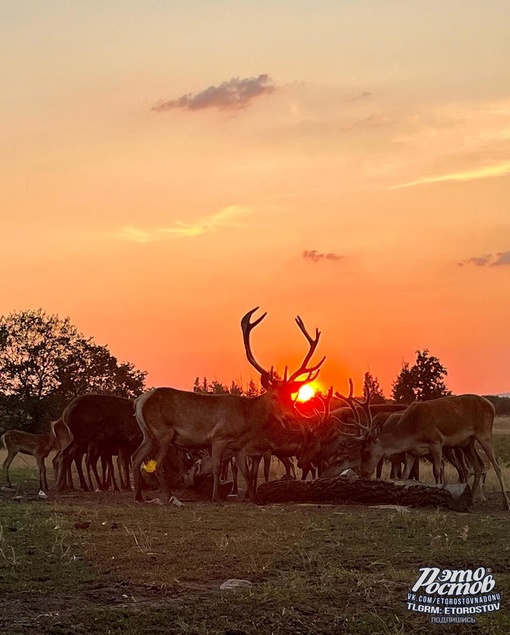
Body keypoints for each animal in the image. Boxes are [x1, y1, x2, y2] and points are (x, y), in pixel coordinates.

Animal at [130, 306, 322, 504]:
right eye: (275, 396)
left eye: (291, 397)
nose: (291, 419)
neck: (246, 419)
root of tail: (139, 400)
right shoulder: (218, 437)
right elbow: (216, 467)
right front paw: (216, 497)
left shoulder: (239, 446)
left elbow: (246, 472)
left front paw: (253, 498)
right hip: (163, 432)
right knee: (156, 464)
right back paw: (170, 497)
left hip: (148, 434)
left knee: (135, 457)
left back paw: (139, 496)